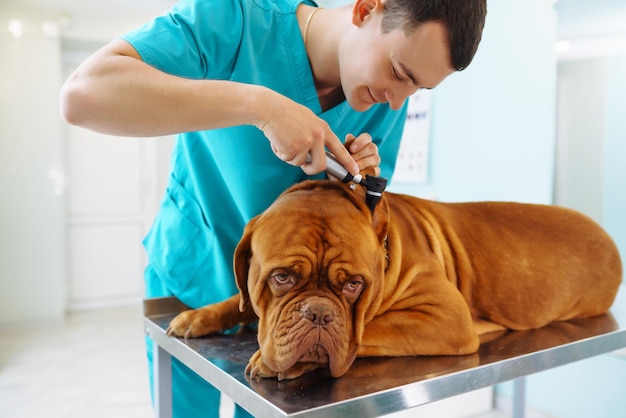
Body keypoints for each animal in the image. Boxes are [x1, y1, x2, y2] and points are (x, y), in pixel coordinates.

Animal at [166, 178, 620, 380]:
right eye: (281, 278)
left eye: (353, 285)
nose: (318, 314)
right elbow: (240, 301)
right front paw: (199, 315)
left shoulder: (446, 317)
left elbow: (366, 330)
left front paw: (278, 359)